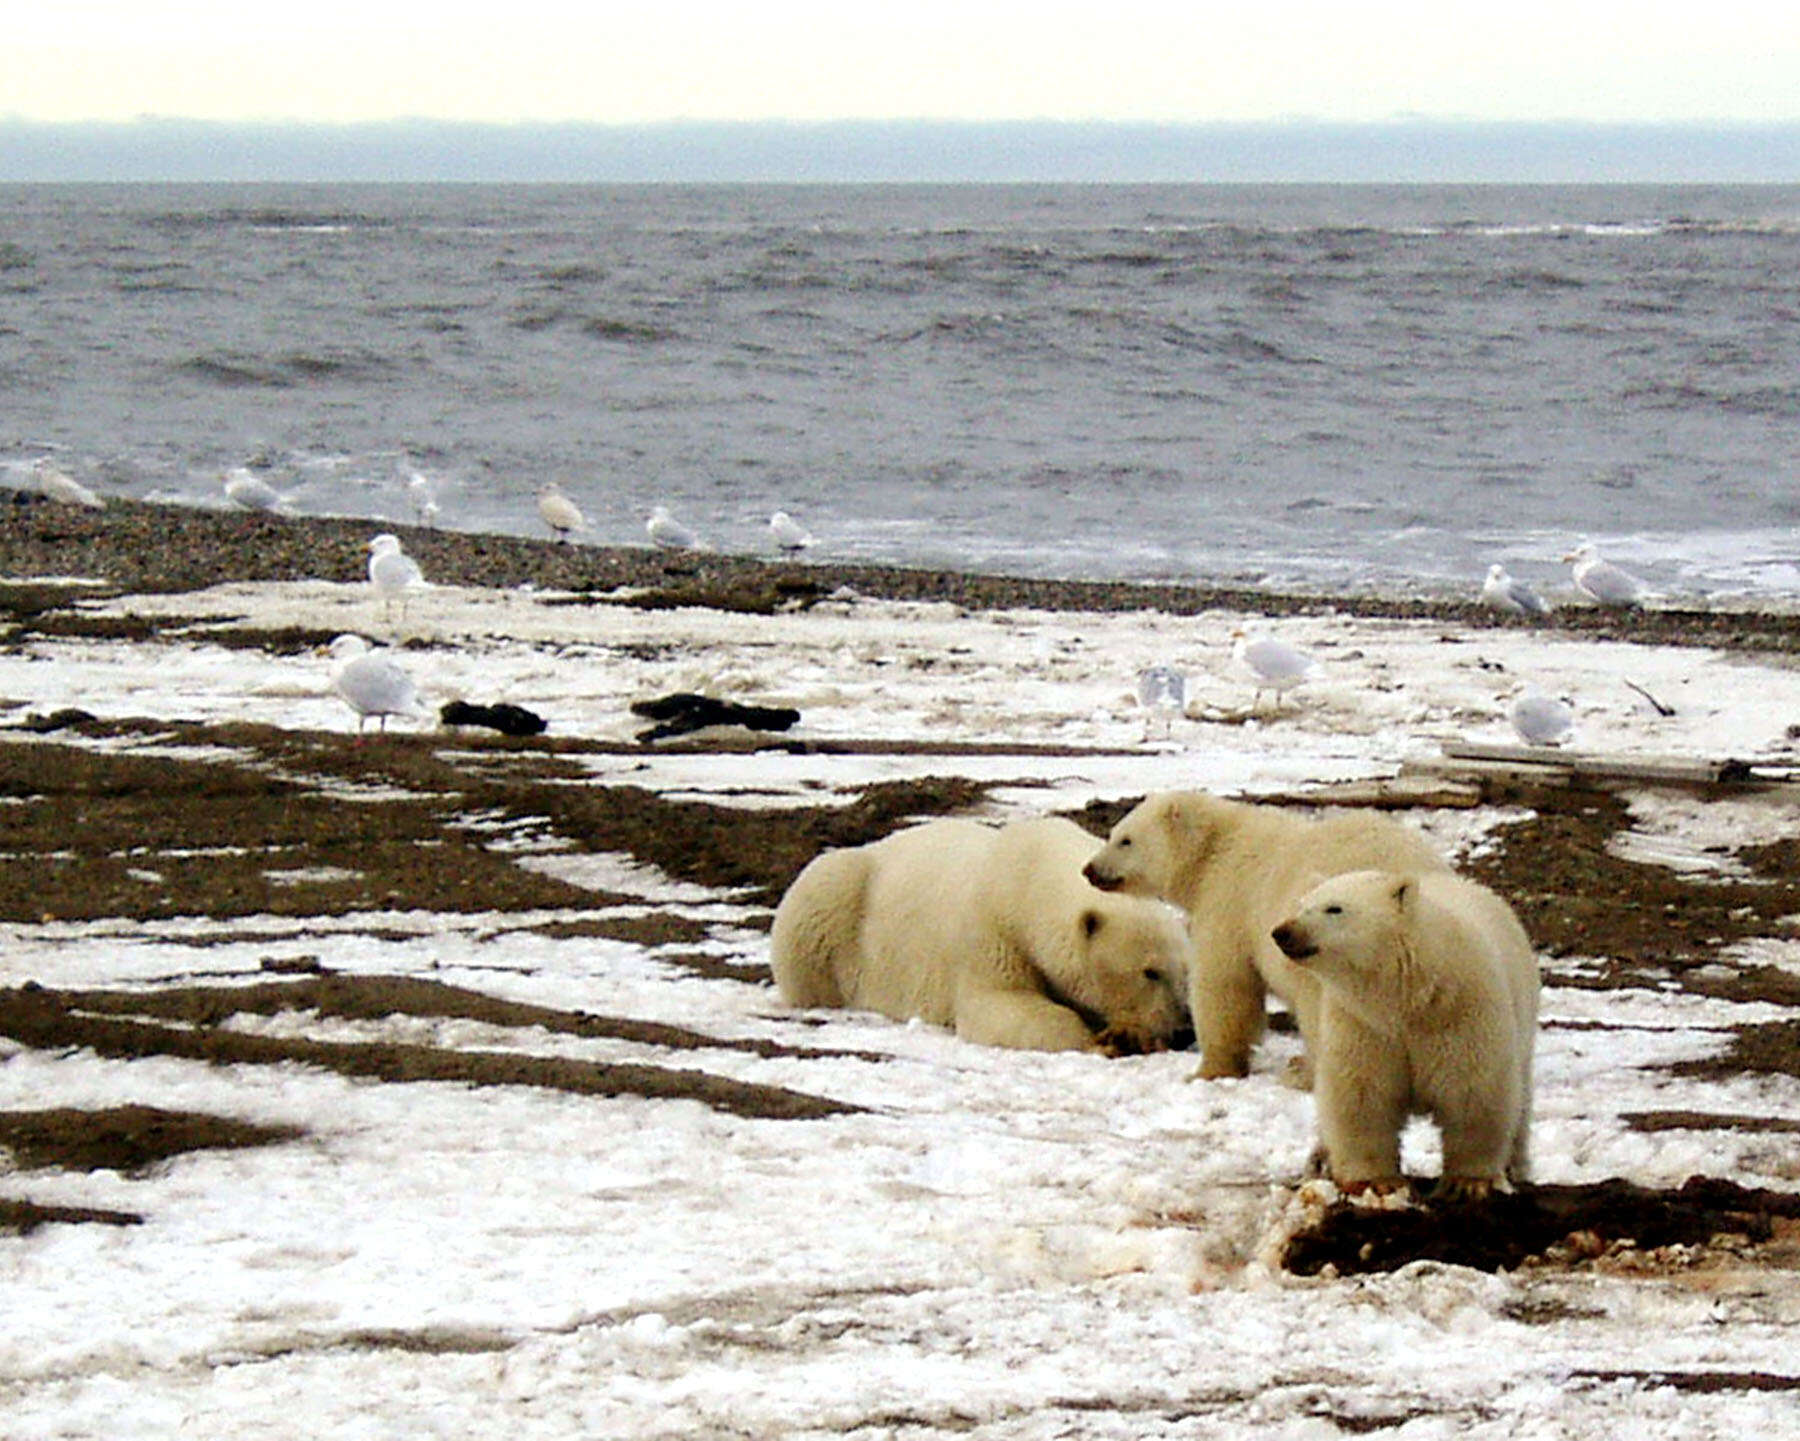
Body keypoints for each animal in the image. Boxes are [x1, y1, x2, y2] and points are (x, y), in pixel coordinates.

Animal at [766, 816, 1188, 1050]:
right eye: (1150, 971)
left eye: (1185, 971)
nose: (1184, 1028)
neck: (1029, 877)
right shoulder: (992, 932)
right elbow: (999, 1005)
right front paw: (1102, 1040)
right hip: (837, 901)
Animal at [1080, 787, 1447, 1079]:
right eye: (1114, 833)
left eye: (1125, 840)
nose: (1089, 870)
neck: (1214, 849)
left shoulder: (1230, 900)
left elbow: (1225, 984)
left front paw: (1210, 1070)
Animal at [1267, 870, 1533, 1194]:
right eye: (1302, 904)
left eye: (1334, 908)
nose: (1282, 932)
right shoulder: (1362, 1024)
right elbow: (1362, 1094)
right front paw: (1375, 1181)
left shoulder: (1461, 1012)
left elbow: (1472, 1090)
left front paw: (1468, 1181)